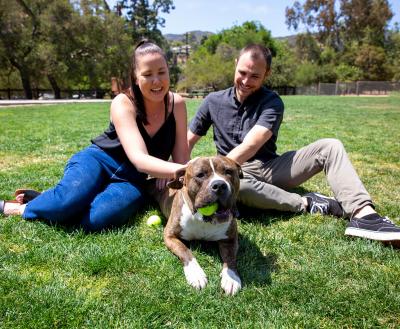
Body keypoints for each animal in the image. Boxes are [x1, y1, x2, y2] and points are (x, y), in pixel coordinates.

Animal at [157, 154, 244, 294]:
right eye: (200, 175)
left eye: (228, 171)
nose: (219, 185)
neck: (204, 220)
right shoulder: (169, 235)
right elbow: (185, 250)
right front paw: (195, 274)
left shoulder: (230, 239)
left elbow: (230, 258)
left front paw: (231, 278)